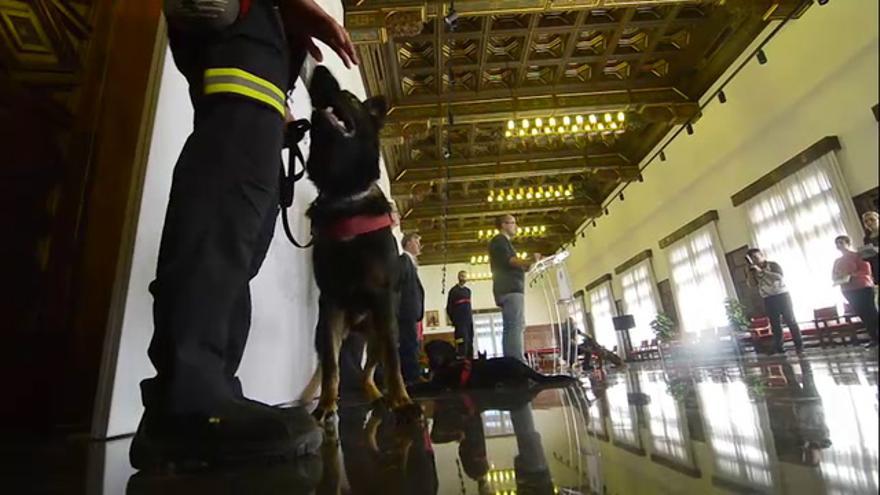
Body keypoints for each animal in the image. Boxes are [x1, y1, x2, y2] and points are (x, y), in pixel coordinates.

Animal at [300, 65, 422, 422]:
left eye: (350, 98)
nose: (319, 69)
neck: (345, 195)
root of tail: (357, 327)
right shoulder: (330, 304)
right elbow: (331, 367)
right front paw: (326, 405)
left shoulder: (381, 299)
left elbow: (395, 364)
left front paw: (403, 400)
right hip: (333, 329)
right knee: (343, 364)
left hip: (379, 332)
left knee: (373, 369)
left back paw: (382, 396)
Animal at [410, 340, 580, 396]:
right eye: (433, 349)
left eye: (442, 350)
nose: (436, 360)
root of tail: (524, 366)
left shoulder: (437, 385)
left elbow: (421, 386)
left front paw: (410, 388)